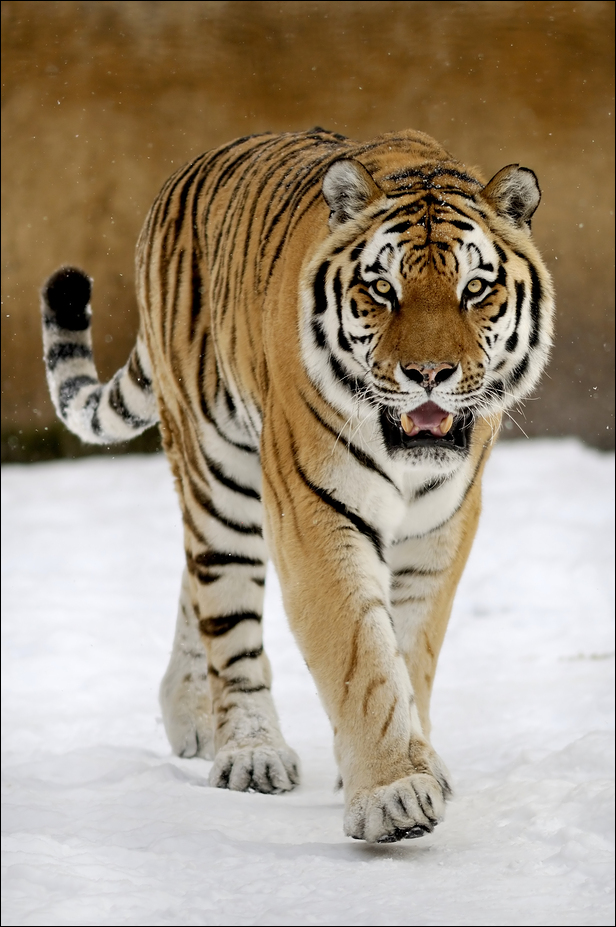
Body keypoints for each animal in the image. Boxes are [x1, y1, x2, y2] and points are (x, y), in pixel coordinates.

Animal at [41, 128, 554, 844]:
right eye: (382, 289)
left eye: (475, 289)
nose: (429, 374)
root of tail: (182, 177)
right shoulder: (314, 513)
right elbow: (361, 659)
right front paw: (395, 796)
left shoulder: (441, 530)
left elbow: (409, 650)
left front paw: (418, 763)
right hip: (221, 476)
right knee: (224, 611)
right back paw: (248, 751)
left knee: (193, 582)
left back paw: (190, 716)